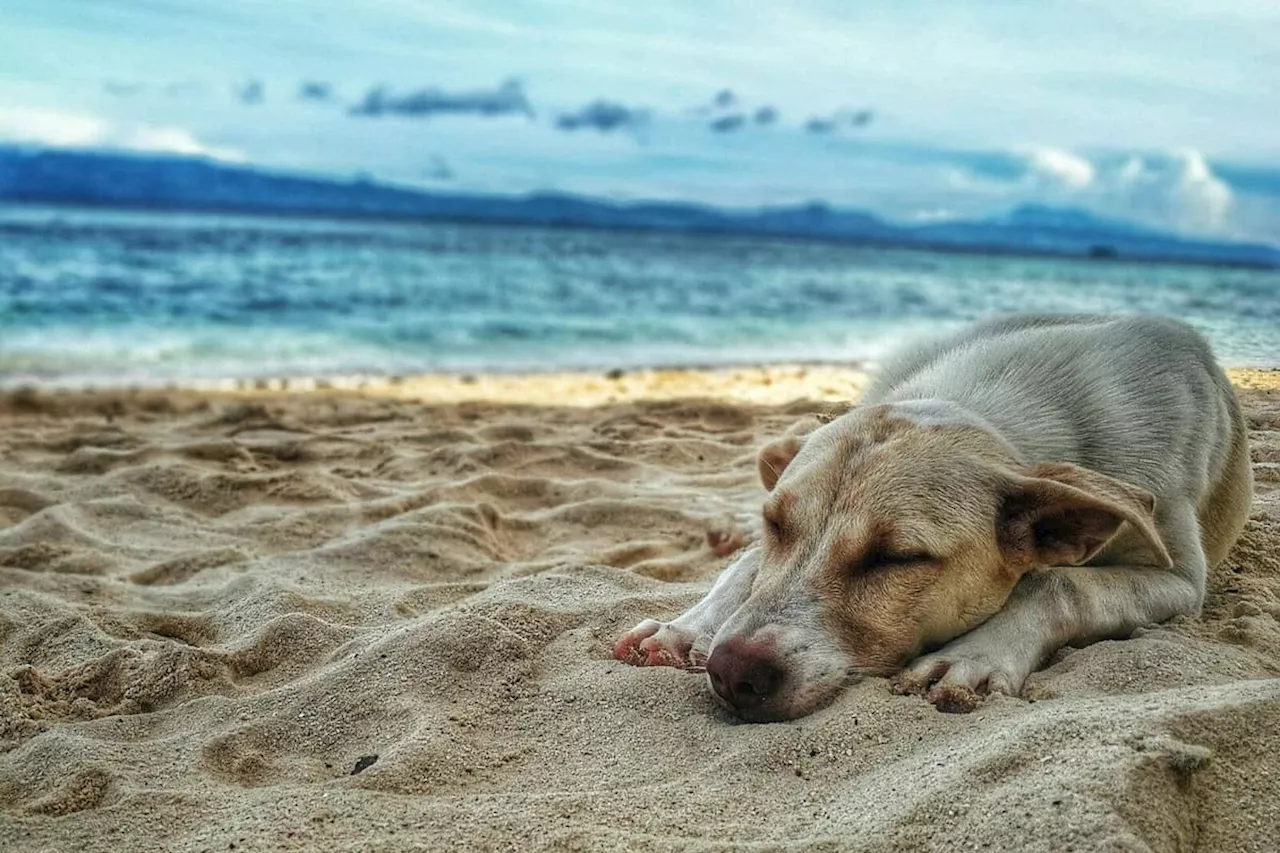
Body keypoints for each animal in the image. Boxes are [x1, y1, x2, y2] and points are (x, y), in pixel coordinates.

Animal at [609, 315, 1249, 722]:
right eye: (776, 526)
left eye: (897, 558)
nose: (731, 672)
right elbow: (747, 571)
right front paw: (690, 625)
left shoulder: (1180, 579)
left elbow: (1059, 581)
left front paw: (976, 654)